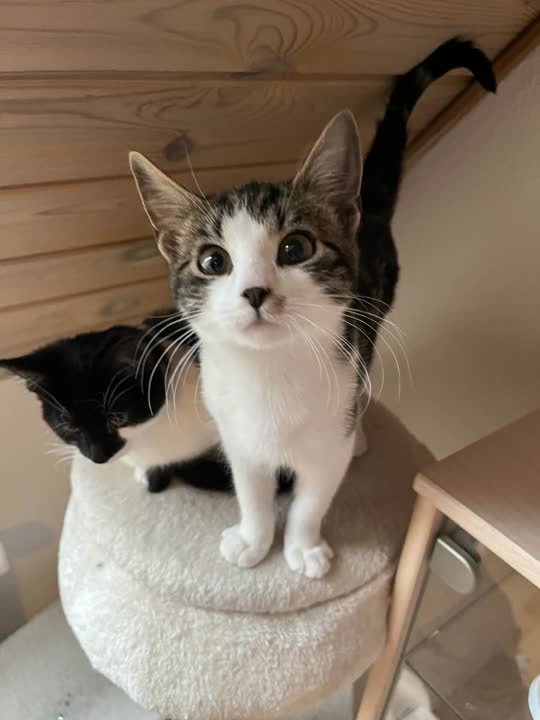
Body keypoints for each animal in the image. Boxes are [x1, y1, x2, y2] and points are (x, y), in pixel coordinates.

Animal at [129, 38, 495, 577]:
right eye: (213, 260)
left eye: (296, 248)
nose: (254, 291)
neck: (269, 373)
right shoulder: (237, 437)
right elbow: (252, 492)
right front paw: (253, 539)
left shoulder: (327, 440)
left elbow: (311, 498)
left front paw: (302, 549)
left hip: (374, 317)